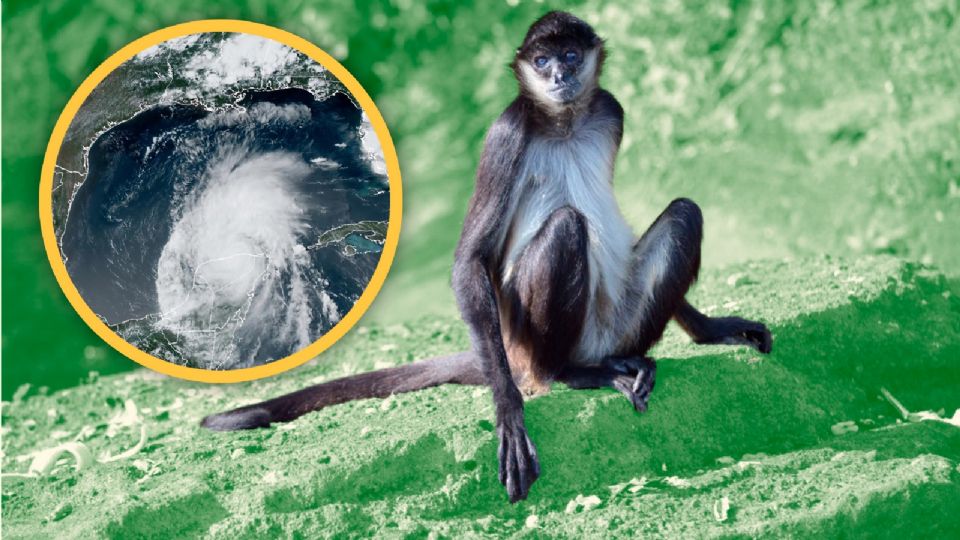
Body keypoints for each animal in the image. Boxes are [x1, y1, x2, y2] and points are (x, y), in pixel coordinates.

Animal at [202, 11, 772, 502]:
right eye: (542, 61)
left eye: (570, 55)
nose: (559, 74)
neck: (563, 121)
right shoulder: (508, 131)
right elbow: (470, 261)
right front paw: (508, 412)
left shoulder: (610, 107)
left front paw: (713, 328)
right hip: (526, 337)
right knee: (567, 227)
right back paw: (572, 375)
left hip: (621, 322)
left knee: (684, 213)